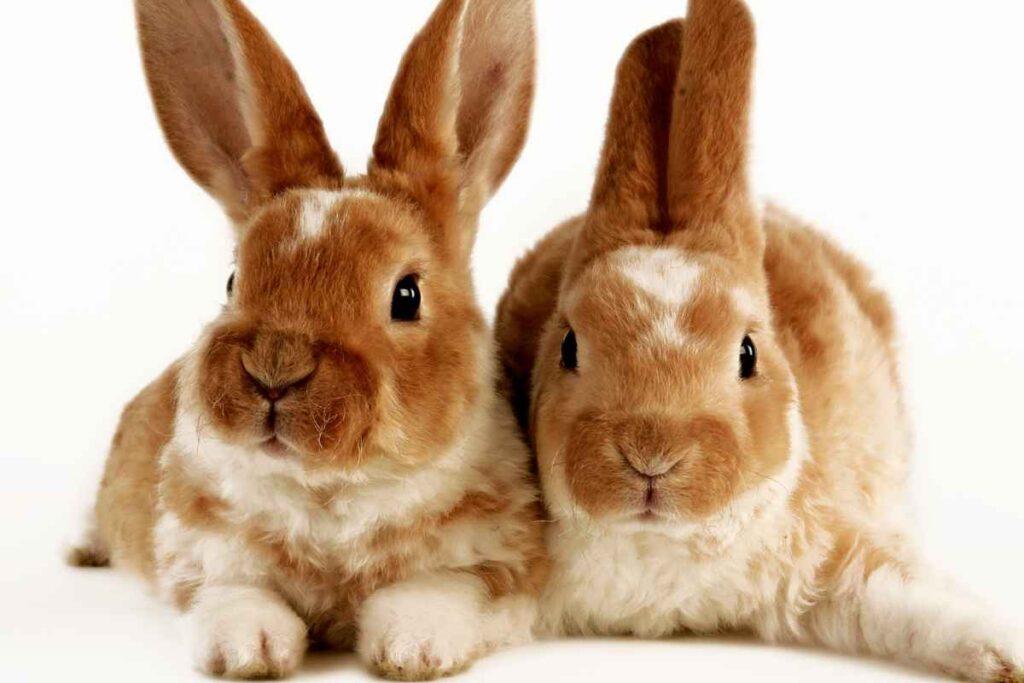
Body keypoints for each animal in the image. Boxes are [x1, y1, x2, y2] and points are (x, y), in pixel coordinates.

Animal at [65, 0, 546, 679]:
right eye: (234, 280)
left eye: (406, 296)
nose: (275, 367)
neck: (330, 491)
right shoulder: (203, 554)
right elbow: (236, 597)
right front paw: (251, 650)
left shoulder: (499, 561)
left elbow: (437, 591)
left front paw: (410, 648)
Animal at [494, 0, 1024, 681]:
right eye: (568, 348)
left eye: (747, 353)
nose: (651, 454)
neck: (658, 543)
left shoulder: (834, 560)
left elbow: (914, 596)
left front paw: (1006, 648)